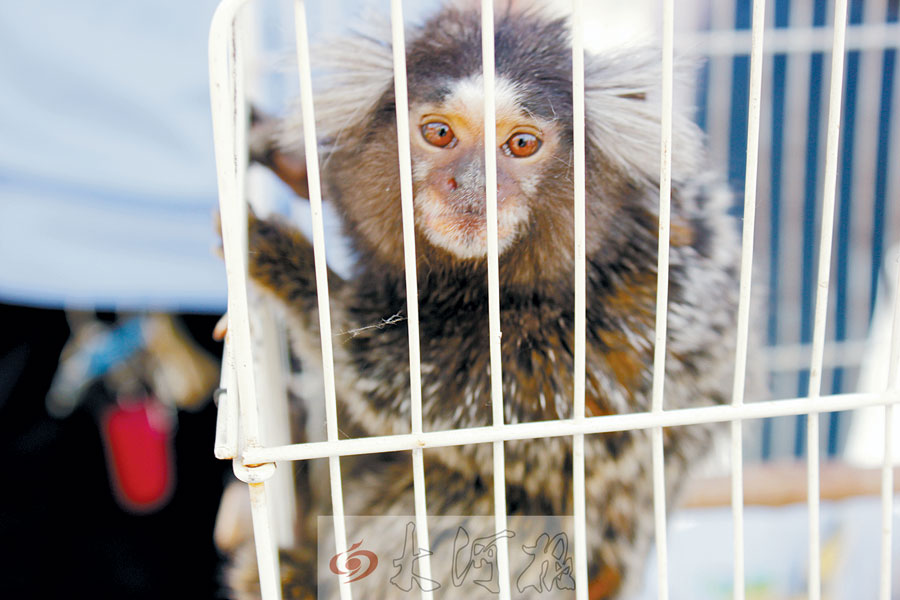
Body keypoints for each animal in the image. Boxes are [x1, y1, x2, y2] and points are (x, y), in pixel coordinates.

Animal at [223, 2, 740, 596]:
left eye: (521, 143)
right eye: (439, 133)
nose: (472, 186)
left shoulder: (630, 329)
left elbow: (418, 395)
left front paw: (279, 258)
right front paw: (280, 153)